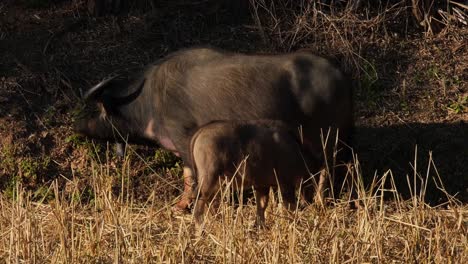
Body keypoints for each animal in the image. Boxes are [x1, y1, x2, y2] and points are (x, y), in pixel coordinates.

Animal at [75, 46, 352, 211]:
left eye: (99, 110)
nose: (79, 125)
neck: (151, 98)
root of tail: (341, 75)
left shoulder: (184, 139)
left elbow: (191, 177)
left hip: (324, 137)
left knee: (327, 169)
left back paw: (320, 200)